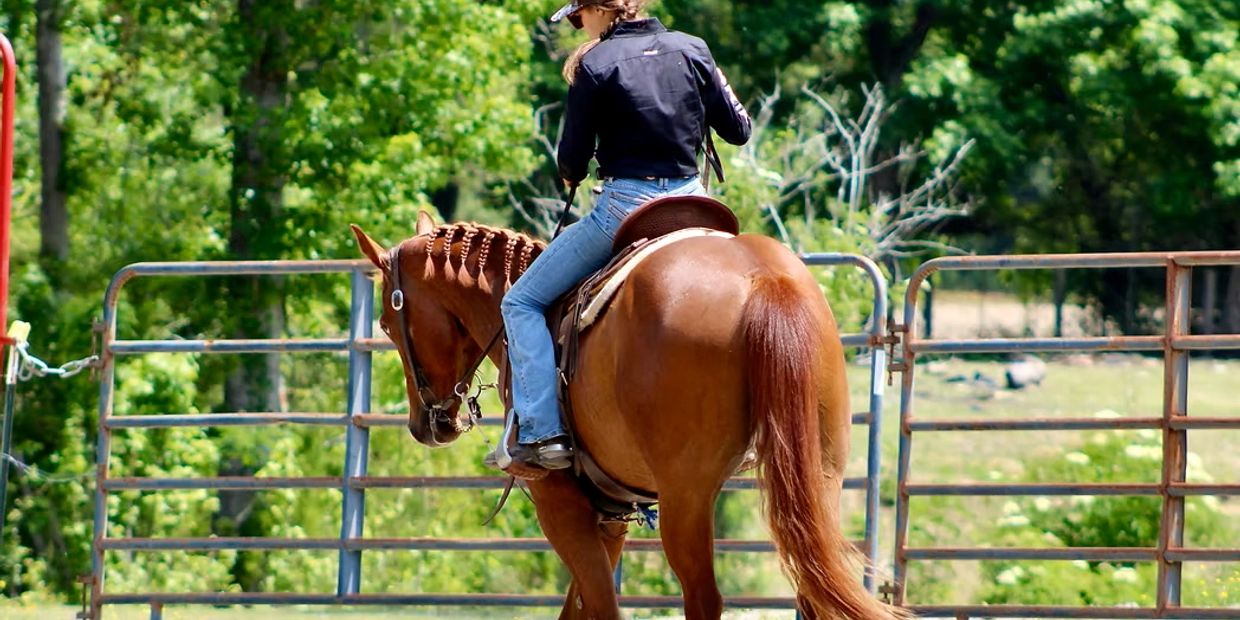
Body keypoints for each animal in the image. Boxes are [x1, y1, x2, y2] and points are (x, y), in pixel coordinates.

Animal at [351, 211, 911, 620]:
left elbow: (600, 606)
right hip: (818, 476)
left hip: (687, 495)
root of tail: (763, 279)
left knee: (704, 598)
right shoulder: (611, 512)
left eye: (386, 323)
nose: (428, 425)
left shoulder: (559, 502)